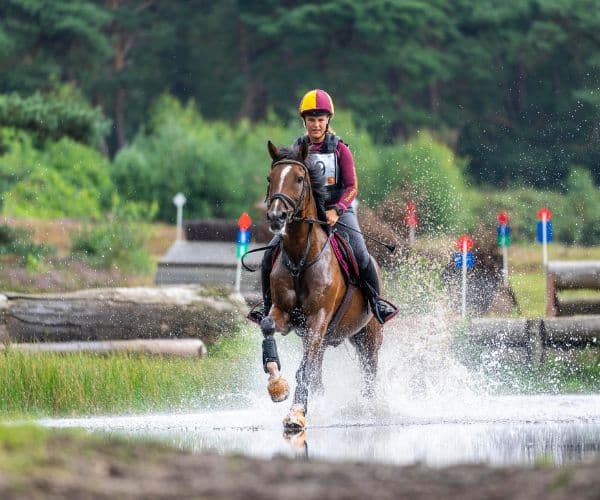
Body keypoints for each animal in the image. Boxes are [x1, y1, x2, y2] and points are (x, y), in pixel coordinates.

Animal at [258, 139, 384, 432]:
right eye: (270, 178)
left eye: (299, 178)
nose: (276, 217)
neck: (300, 258)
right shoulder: (284, 314)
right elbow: (268, 327)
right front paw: (277, 387)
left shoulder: (318, 319)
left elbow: (304, 369)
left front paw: (296, 413)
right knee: (318, 370)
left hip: (368, 336)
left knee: (369, 373)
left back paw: (367, 410)